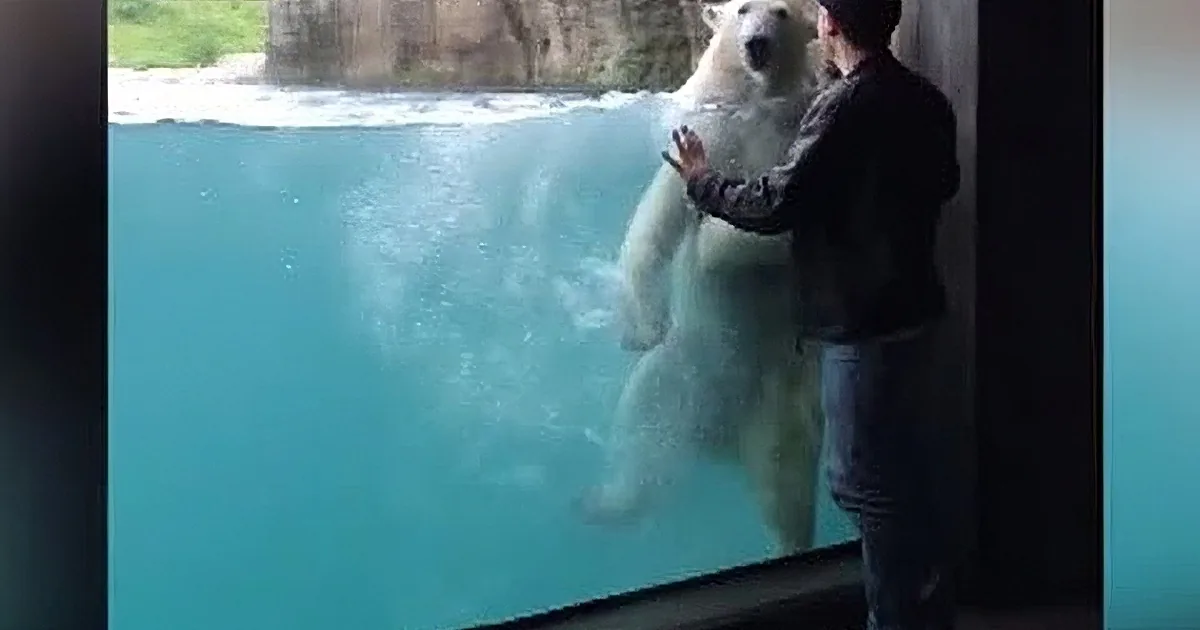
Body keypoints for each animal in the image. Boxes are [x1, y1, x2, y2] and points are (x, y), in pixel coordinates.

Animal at [576, 0, 832, 556]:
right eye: (742, 9)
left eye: (782, 12)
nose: (757, 43)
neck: (757, 108)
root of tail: (719, 440)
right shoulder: (709, 136)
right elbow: (656, 225)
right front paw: (642, 328)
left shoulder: (793, 131)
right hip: (681, 370)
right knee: (643, 425)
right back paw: (606, 503)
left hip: (779, 400)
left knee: (785, 478)